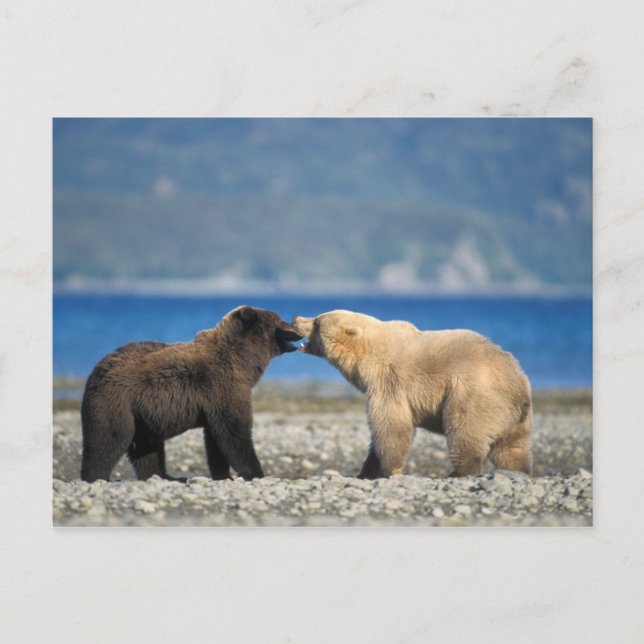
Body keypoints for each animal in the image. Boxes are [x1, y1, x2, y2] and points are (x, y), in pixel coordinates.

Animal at [80, 305, 302, 482]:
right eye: (280, 319)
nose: (298, 331)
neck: (243, 360)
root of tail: (96, 369)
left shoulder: (216, 401)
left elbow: (216, 440)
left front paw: (223, 474)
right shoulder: (224, 386)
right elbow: (235, 432)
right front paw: (256, 472)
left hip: (142, 416)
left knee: (147, 448)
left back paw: (165, 476)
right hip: (117, 401)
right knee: (108, 439)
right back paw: (96, 476)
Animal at [292, 310, 532, 478]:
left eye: (317, 322)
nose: (295, 318)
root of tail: (519, 383)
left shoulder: (389, 382)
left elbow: (391, 425)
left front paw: (386, 470)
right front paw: (366, 470)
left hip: (472, 394)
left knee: (465, 429)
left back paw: (459, 472)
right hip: (515, 417)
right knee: (512, 448)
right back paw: (518, 470)